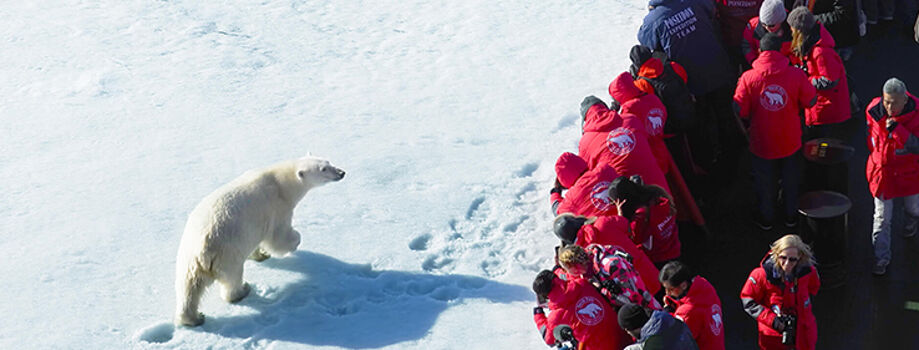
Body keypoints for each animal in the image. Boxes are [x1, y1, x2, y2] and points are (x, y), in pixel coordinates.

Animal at [173, 154, 344, 326]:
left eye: (328, 162)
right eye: (323, 169)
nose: (341, 172)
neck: (281, 183)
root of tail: (203, 250)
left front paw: (261, 255)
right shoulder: (277, 208)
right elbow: (278, 237)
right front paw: (295, 240)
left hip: (189, 260)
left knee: (188, 287)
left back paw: (194, 318)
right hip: (227, 254)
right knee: (232, 278)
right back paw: (243, 290)